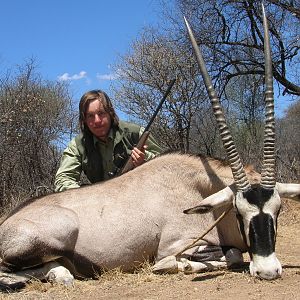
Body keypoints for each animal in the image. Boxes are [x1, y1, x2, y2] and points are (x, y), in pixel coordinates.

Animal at [0, 4, 298, 290]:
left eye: (278, 210)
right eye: (238, 211)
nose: (268, 271)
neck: (197, 187)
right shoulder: (175, 244)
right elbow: (226, 255)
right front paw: (177, 266)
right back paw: (55, 275)